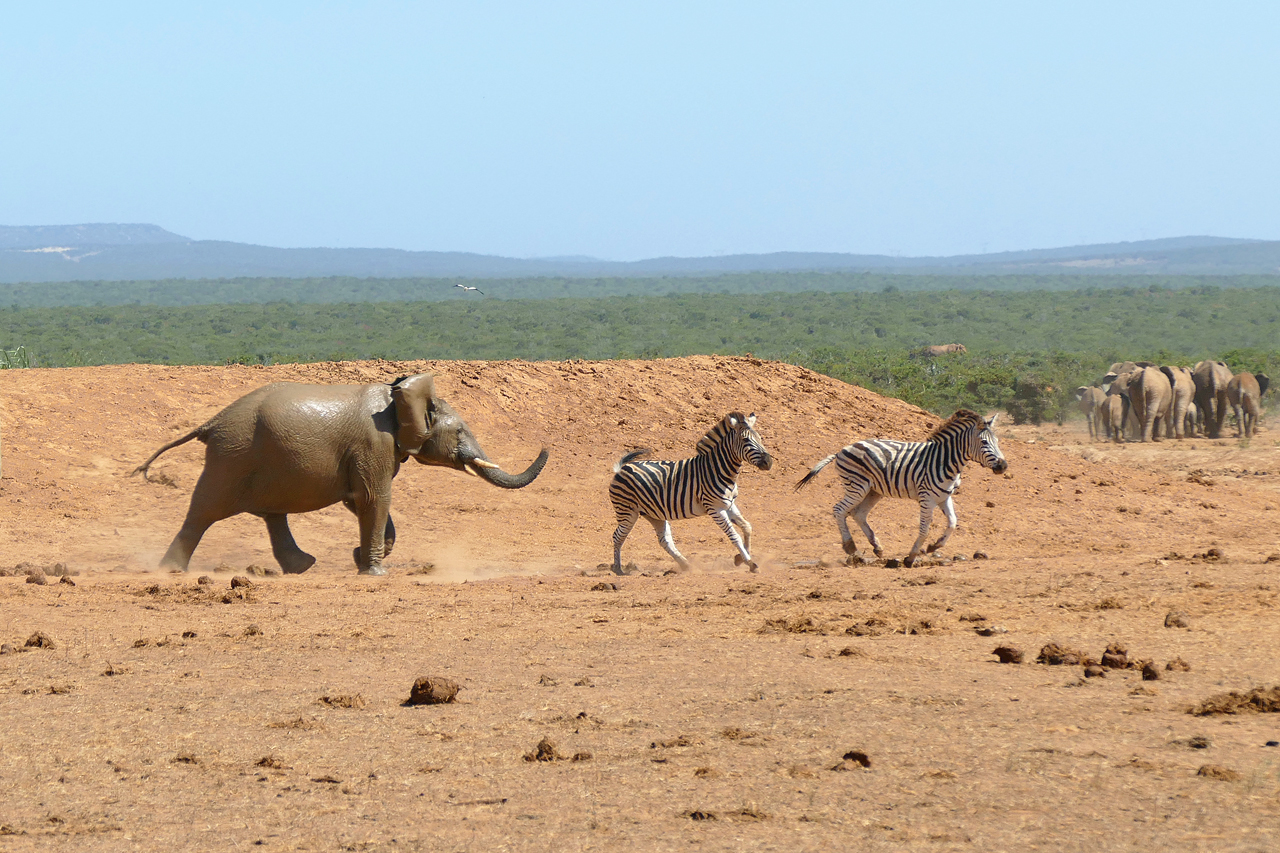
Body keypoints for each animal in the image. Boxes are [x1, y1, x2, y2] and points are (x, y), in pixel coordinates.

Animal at [132, 371, 547, 571]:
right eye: (459, 431)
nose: (545, 444)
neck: (398, 396)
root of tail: (211, 422)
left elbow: (360, 500)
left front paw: (361, 557)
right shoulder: (374, 442)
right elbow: (374, 498)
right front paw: (373, 571)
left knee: (271, 515)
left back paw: (302, 567)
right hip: (232, 456)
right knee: (203, 512)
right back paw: (170, 572)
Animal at [606, 409, 773, 573]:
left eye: (760, 438)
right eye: (745, 440)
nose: (768, 462)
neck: (718, 470)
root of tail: (622, 468)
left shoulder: (729, 505)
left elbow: (747, 527)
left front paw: (741, 558)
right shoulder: (715, 508)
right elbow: (734, 535)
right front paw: (750, 562)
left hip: (653, 513)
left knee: (664, 540)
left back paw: (685, 565)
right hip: (627, 511)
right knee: (617, 536)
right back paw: (618, 569)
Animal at [793, 409, 1003, 563]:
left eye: (997, 441)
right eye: (983, 442)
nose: (1003, 466)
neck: (944, 460)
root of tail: (840, 450)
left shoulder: (944, 496)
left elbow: (952, 523)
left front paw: (934, 546)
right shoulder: (926, 497)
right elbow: (924, 528)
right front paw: (911, 557)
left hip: (873, 490)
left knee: (858, 514)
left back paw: (877, 547)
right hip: (857, 486)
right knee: (839, 510)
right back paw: (850, 546)